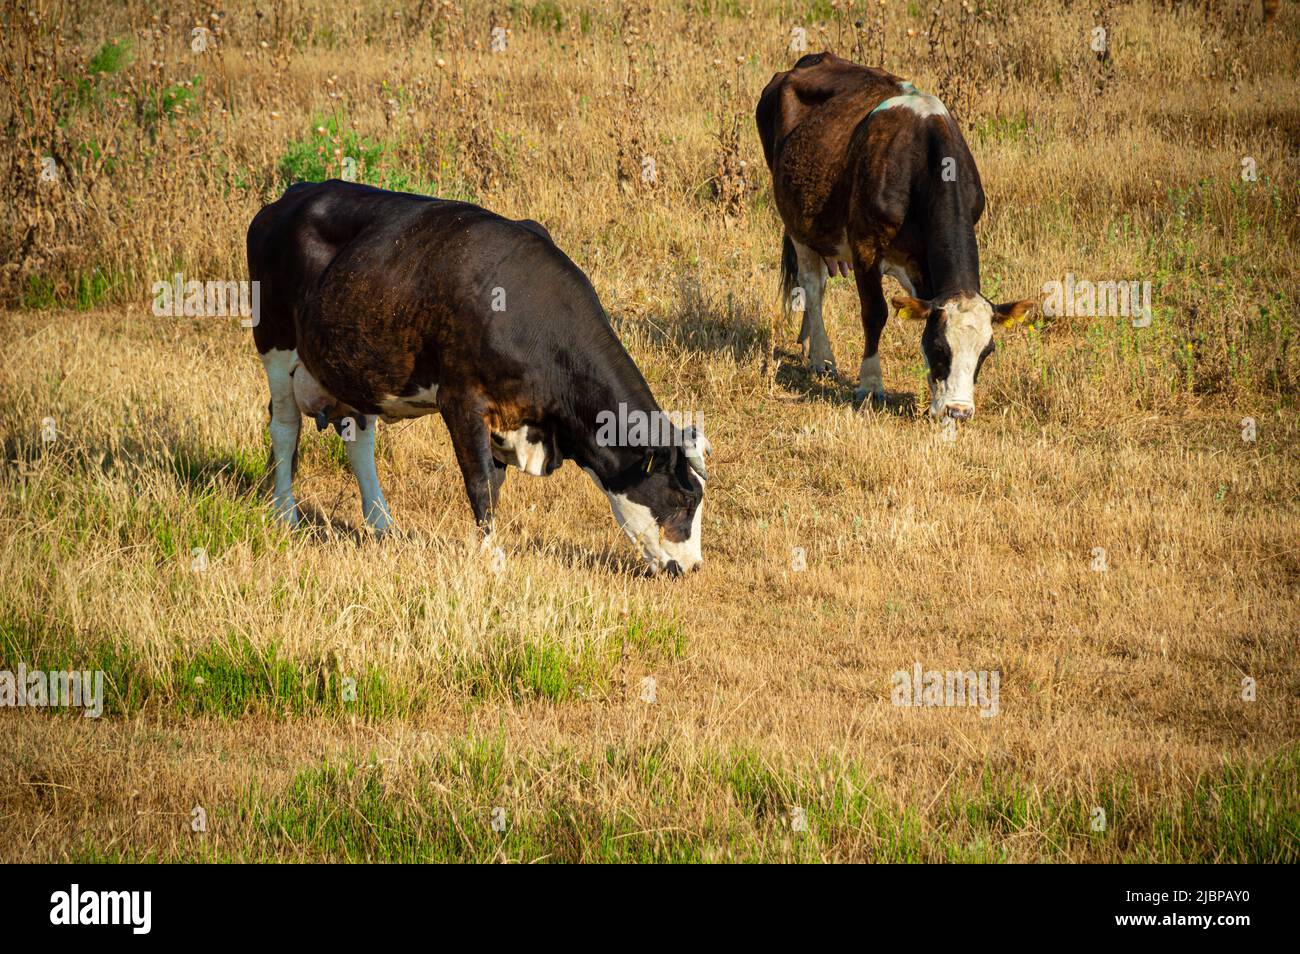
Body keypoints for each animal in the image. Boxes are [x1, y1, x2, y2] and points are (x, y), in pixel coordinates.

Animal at [246, 180, 709, 575]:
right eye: (684, 499)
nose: (693, 567)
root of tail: (291, 196)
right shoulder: (462, 401)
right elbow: (481, 481)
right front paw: (491, 558)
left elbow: (495, 481)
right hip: (275, 343)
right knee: (284, 427)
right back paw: (285, 513)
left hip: (357, 368)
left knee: (359, 441)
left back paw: (381, 523)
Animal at [756, 52, 1035, 419]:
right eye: (940, 347)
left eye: (986, 352)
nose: (959, 411)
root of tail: (812, 59)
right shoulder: (865, 248)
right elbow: (875, 314)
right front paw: (871, 385)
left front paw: (934, 398)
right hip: (796, 218)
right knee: (812, 285)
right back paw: (821, 356)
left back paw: (807, 342)